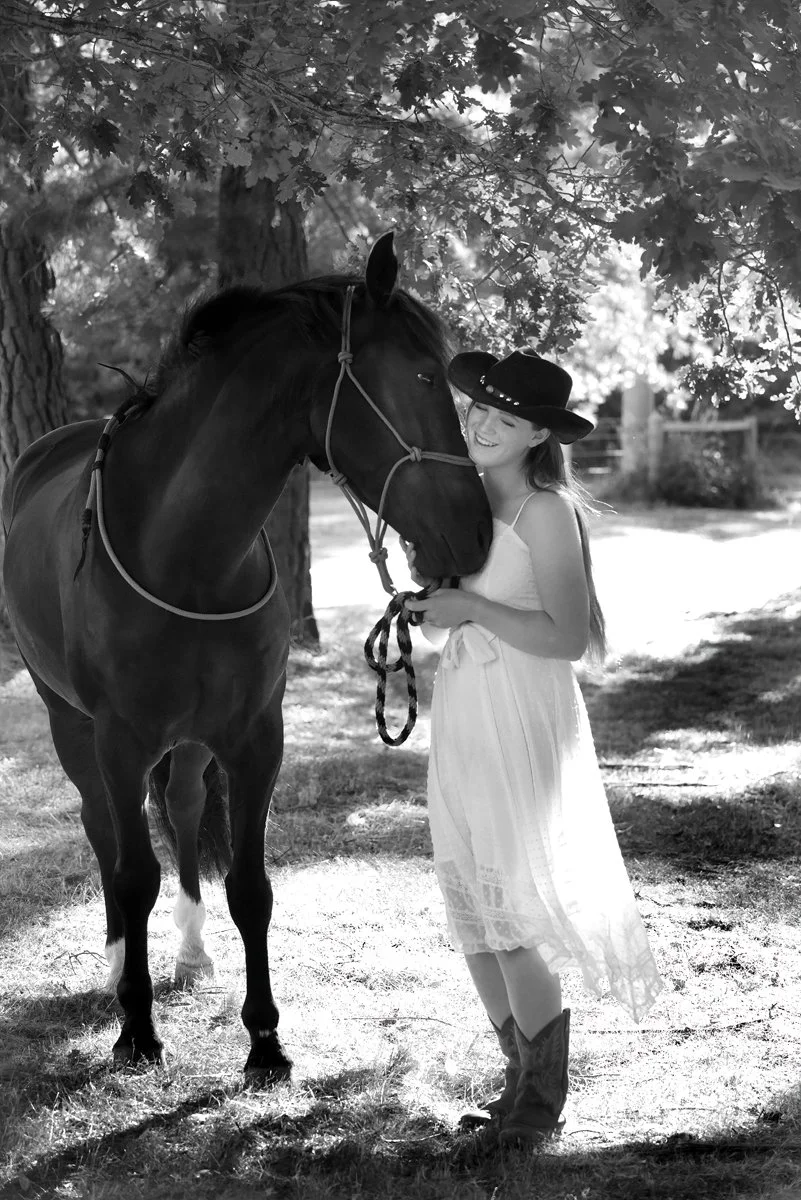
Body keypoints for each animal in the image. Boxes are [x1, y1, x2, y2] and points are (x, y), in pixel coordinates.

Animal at [1, 232, 493, 1080]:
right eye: (424, 375)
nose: (476, 531)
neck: (186, 548)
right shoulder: (120, 741)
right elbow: (133, 873)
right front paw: (138, 1030)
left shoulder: (256, 735)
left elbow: (250, 885)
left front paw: (264, 1039)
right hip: (70, 723)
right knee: (102, 830)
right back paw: (118, 967)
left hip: (194, 739)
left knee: (182, 806)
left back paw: (192, 953)